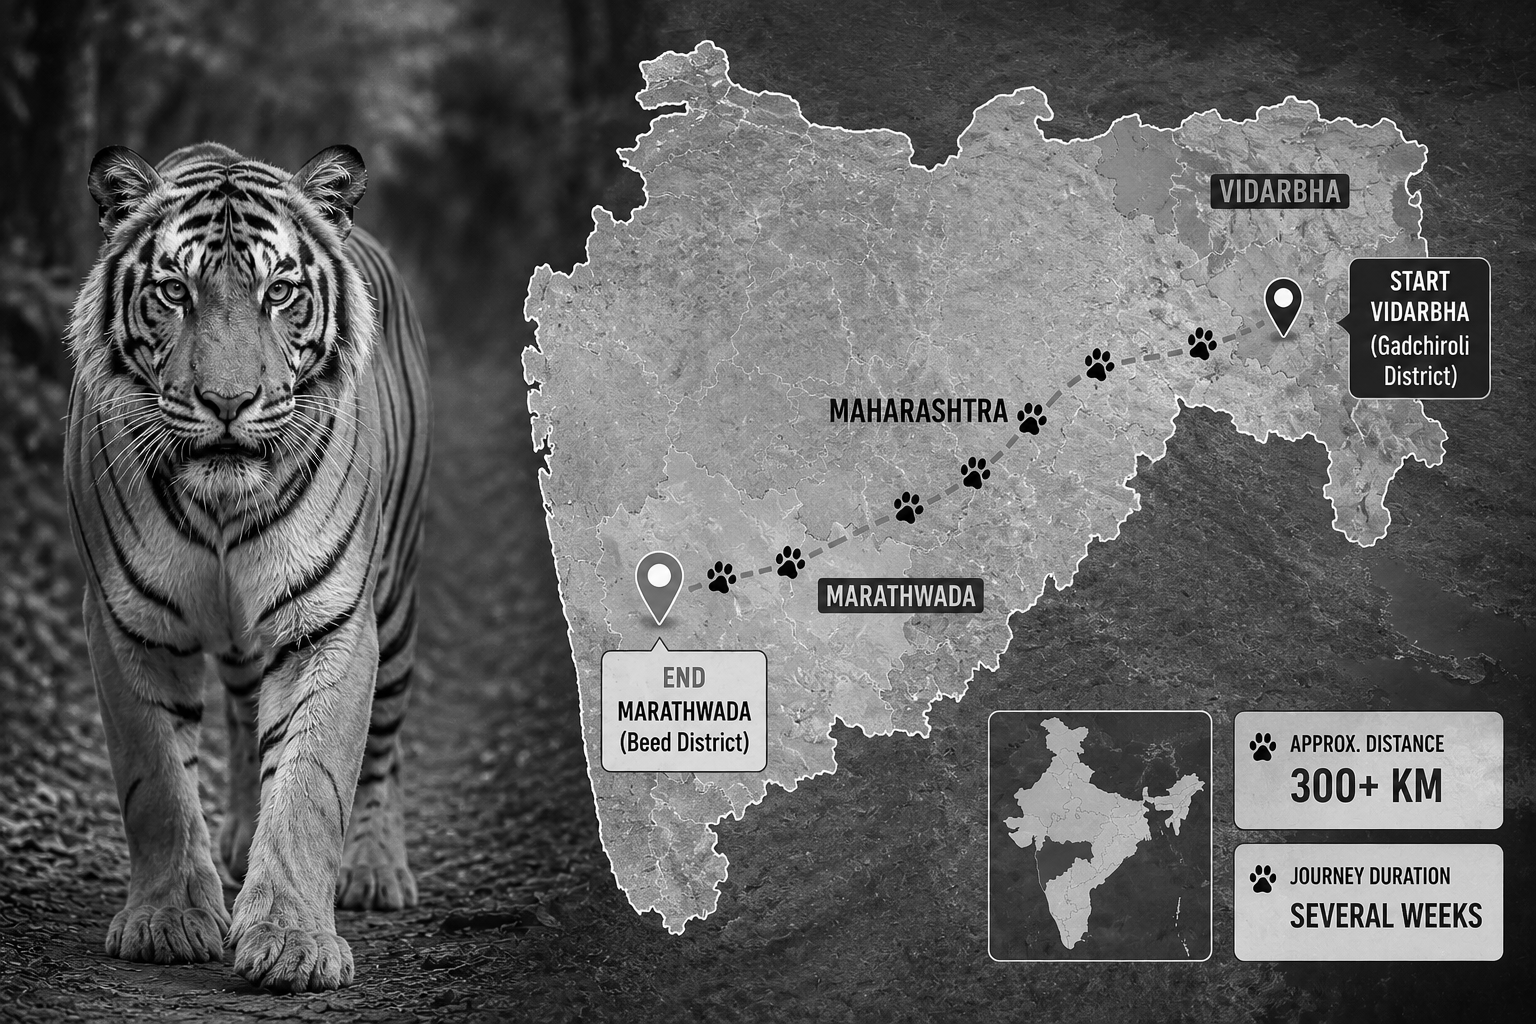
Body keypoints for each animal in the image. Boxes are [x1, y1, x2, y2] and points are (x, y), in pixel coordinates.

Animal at [65, 141, 430, 991]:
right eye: (175, 292)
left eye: (279, 293)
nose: (228, 402)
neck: (223, 509)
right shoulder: (126, 624)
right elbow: (157, 783)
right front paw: (167, 922)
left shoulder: (332, 622)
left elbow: (312, 786)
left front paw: (293, 944)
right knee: (237, 713)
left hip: (395, 604)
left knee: (386, 742)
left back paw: (375, 870)